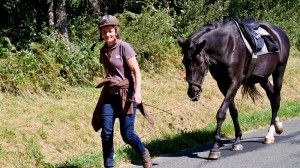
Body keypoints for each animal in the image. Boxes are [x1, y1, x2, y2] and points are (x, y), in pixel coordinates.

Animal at [177, 17, 290, 159]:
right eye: (184, 62)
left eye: (200, 62)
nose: (193, 92)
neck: (226, 47)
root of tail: (279, 33)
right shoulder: (222, 84)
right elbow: (233, 112)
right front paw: (237, 140)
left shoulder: (234, 83)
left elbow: (221, 113)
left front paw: (215, 147)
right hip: (262, 78)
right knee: (272, 96)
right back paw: (277, 125)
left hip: (279, 71)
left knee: (276, 99)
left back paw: (270, 134)